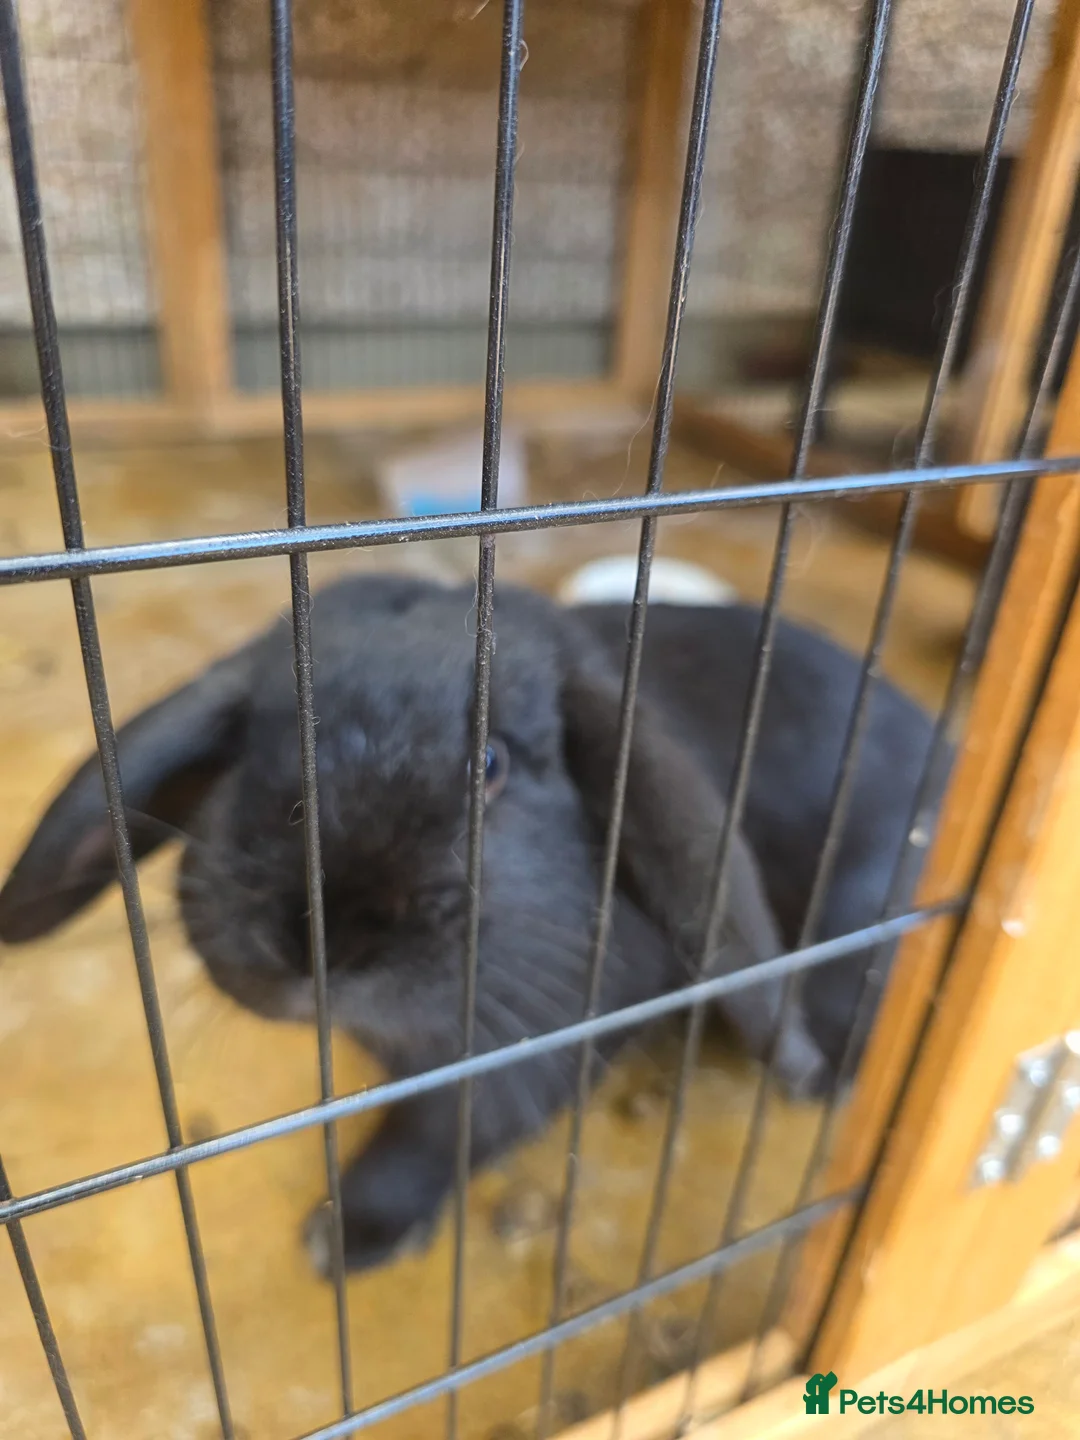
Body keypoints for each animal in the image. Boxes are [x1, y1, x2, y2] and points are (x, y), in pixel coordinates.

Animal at [0, 573, 942, 1274]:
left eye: (490, 765)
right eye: (254, 752)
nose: (320, 943)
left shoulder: (534, 1042)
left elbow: (436, 1137)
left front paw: (347, 1238)